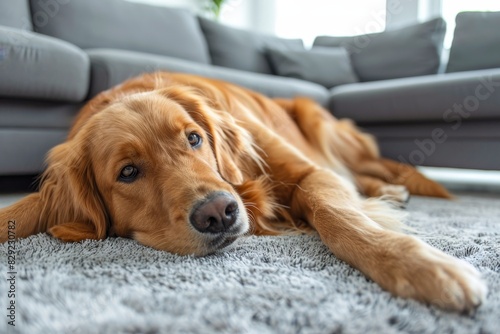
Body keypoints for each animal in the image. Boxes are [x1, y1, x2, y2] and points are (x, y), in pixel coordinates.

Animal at [0, 72, 484, 312]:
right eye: (129, 172)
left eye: (194, 138)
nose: (219, 212)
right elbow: (22, 211)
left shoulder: (311, 172)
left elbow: (335, 215)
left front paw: (422, 266)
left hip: (322, 126)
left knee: (368, 169)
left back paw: (391, 188)